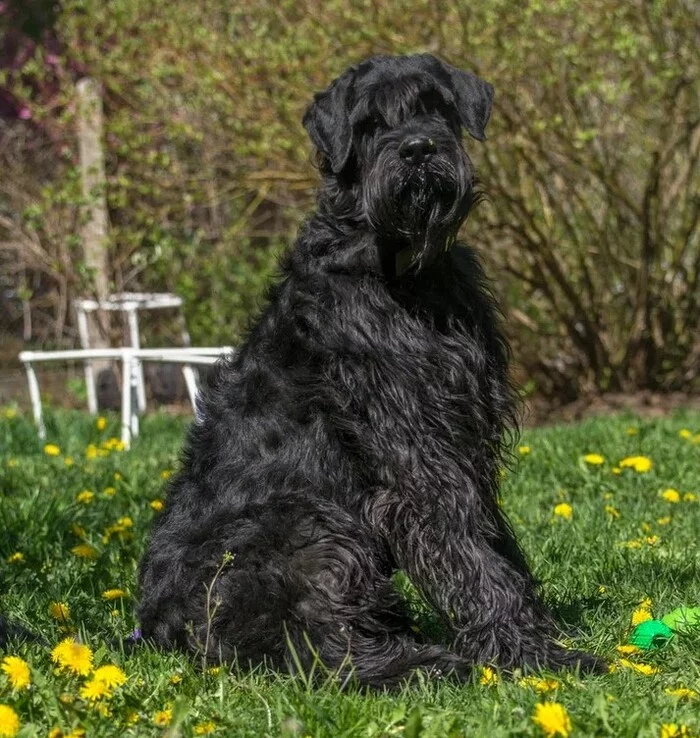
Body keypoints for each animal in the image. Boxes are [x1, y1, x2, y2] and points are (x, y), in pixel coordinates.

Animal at [138, 53, 600, 684]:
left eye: (435, 106)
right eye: (370, 123)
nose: (418, 149)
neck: (409, 277)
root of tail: (155, 631)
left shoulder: (465, 438)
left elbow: (494, 540)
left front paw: (532, 632)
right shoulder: (414, 451)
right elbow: (470, 551)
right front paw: (531, 652)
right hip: (308, 527)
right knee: (325, 650)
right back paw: (429, 664)